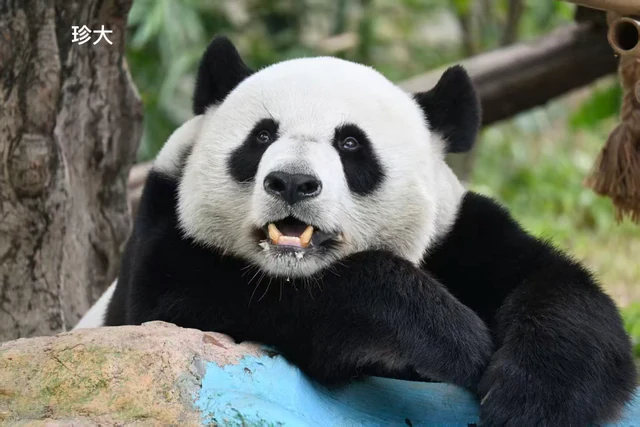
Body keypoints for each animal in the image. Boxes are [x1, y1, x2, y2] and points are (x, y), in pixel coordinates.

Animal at [76, 36, 636, 426]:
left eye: (350, 144)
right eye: (262, 136)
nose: (293, 182)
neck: (294, 266)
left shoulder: (458, 235)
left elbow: (554, 285)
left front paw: (533, 398)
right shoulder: (163, 230)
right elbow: (189, 299)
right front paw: (451, 338)